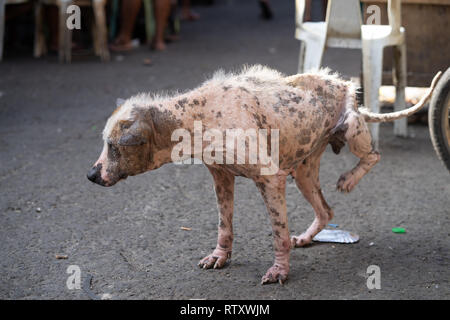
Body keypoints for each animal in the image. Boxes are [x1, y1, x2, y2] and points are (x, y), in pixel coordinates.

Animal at [87, 65, 440, 284]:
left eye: (113, 146)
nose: (91, 175)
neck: (196, 115)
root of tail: (347, 87)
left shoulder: (271, 179)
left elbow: (278, 235)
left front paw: (279, 271)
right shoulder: (221, 178)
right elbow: (224, 227)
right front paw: (220, 256)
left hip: (352, 130)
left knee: (374, 156)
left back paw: (350, 178)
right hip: (304, 173)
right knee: (326, 211)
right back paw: (309, 235)